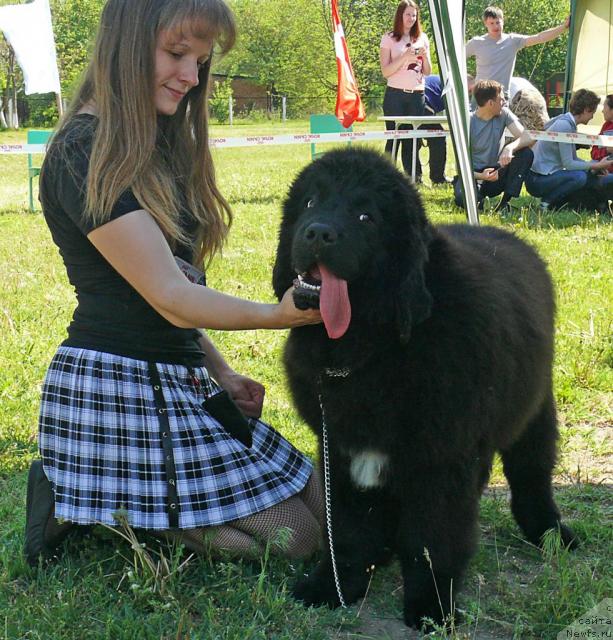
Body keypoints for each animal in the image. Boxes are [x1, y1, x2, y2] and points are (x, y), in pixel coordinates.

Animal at [272, 148, 572, 628]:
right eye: (310, 202)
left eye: (366, 216)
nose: (317, 232)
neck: (377, 347)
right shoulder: (341, 449)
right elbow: (348, 530)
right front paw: (334, 586)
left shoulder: (442, 459)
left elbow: (434, 539)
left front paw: (431, 607)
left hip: (533, 411)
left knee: (532, 474)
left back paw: (550, 533)